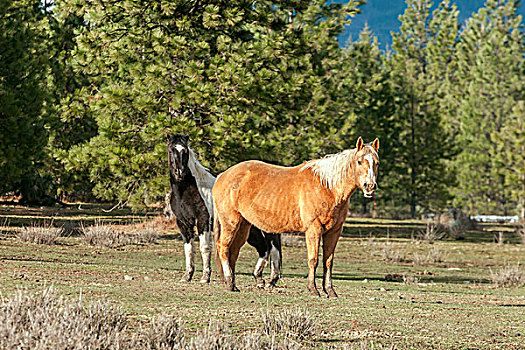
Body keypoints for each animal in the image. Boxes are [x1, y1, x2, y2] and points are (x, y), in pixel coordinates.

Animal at [168, 134, 282, 288]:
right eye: (171, 150)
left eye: (185, 151)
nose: (179, 172)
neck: (189, 190)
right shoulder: (183, 223)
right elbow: (189, 249)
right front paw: (187, 276)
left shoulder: (203, 221)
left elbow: (204, 248)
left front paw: (205, 277)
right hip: (251, 230)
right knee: (263, 248)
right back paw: (259, 278)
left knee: (273, 248)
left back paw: (270, 280)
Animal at [211, 137, 378, 296]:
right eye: (359, 161)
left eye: (376, 163)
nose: (369, 186)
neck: (327, 187)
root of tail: (222, 176)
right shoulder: (313, 229)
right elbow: (313, 259)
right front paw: (313, 289)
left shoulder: (334, 232)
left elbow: (328, 261)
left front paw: (330, 291)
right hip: (231, 223)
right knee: (223, 247)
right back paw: (230, 282)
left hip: (244, 226)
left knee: (233, 251)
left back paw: (233, 285)